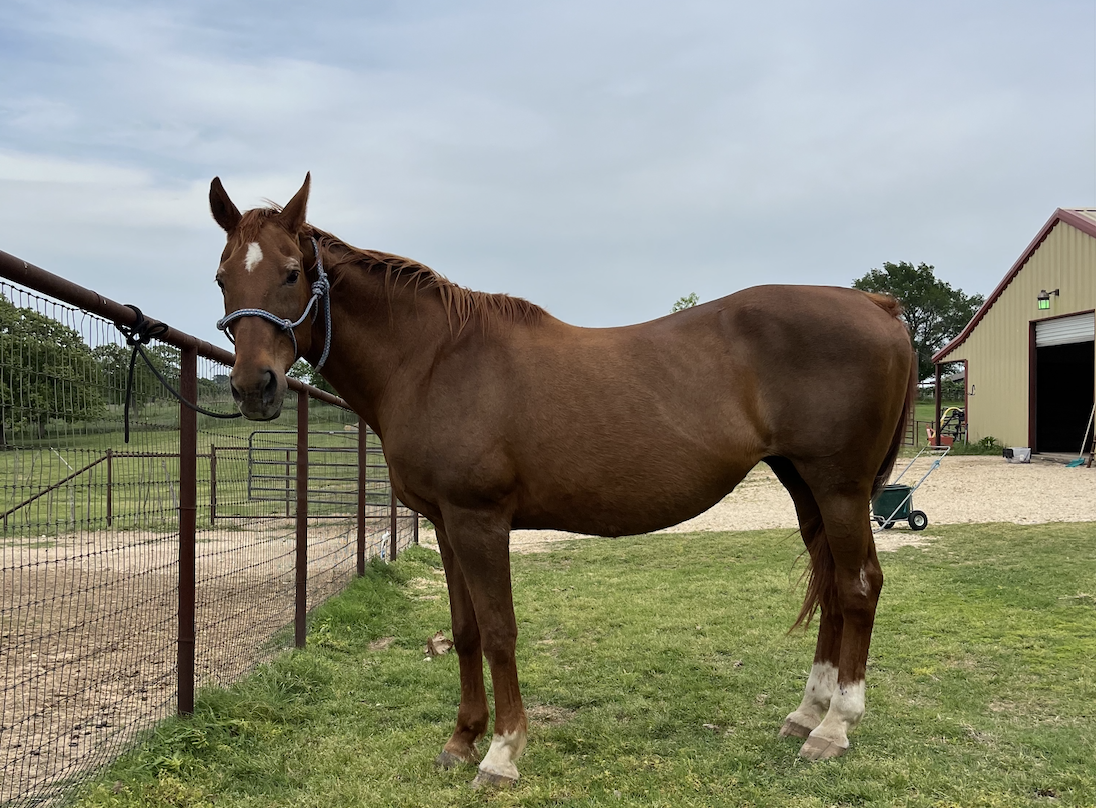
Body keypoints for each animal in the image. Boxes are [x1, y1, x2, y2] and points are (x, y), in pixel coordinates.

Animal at [209, 174, 915, 788]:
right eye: (221, 277)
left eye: (292, 272)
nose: (253, 387)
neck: (433, 360)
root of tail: (877, 305)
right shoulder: (446, 523)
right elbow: (465, 631)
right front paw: (461, 741)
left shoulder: (481, 520)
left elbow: (499, 631)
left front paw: (501, 754)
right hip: (806, 487)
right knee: (831, 586)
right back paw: (805, 714)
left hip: (841, 488)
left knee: (857, 588)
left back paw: (834, 728)